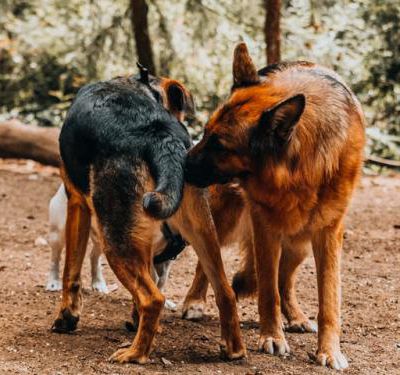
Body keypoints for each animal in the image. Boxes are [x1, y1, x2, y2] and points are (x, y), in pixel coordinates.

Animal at [52, 67, 247, 364]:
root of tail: (160, 136)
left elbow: (70, 272)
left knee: (152, 299)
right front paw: (136, 322)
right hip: (203, 232)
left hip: (116, 240)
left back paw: (135, 353)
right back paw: (233, 349)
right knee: (225, 291)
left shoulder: (76, 203)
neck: (141, 86)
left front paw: (67, 317)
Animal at [184, 41, 366, 370]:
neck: (301, 168)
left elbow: (329, 299)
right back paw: (194, 301)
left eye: (220, 145)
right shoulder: (264, 226)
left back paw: (295, 316)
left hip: (299, 243)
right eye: (204, 133)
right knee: (207, 263)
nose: (182, 163)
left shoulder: (329, 232)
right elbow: (267, 290)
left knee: (286, 280)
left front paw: (329, 351)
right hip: (225, 221)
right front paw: (272, 336)